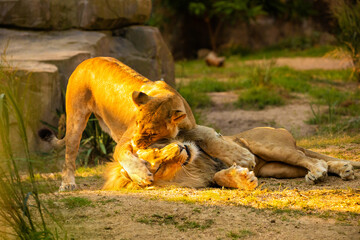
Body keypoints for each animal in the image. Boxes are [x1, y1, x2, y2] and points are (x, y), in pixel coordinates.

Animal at [39, 57, 255, 191]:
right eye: (137, 122)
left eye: (151, 133)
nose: (136, 144)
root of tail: (86, 60)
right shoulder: (125, 142)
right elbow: (123, 154)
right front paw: (141, 174)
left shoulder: (190, 129)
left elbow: (210, 138)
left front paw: (242, 157)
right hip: (76, 120)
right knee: (69, 156)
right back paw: (67, 184)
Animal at [102, 125, 358, 189]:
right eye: (157, 168)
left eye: (156, 152)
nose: (180, 150)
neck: (189, 167)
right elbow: (219, 177)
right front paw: (242, 178)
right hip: (277, 168)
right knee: (312, 159)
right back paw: (338, 170)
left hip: (270, 147)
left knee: (311, 158)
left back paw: (319, 172)